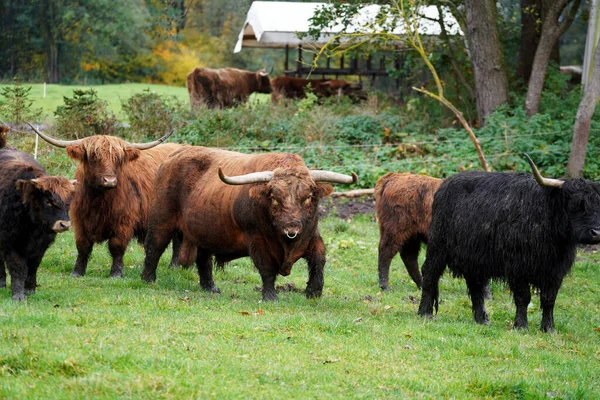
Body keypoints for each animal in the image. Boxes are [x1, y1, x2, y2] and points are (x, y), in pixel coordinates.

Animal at [0, 129, 75, 300]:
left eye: (69, 201)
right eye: (48, 201)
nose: (64, 225)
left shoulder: (42, 243)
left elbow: (33, 265)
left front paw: (30, 288)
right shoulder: (9, 241)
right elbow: (17, 266)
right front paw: (18, 295)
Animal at [32, 126, 183, 280]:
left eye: (117, 159)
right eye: (94, 157)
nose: (109, 180)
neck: (99, 201)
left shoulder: (123, 222)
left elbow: (116, 246)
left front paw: (116, 273)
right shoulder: (79, 220)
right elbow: (82, 245)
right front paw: (77, 272)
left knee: (178, 239)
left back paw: (174, 266)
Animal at [141, 147, 356, 300]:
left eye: (308, 197)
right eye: (274, 198)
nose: (291, 229)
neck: (288, 246)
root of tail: (173, 156)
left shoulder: (312, 236)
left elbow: (319, 260)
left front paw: (313, 292)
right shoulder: (258, 241)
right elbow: (267, 268)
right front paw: (270, 296)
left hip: (206, 230)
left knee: (203, 259)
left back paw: (210, 287)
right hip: (162, 220)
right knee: (154, 248)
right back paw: (148, 279)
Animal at [418, 155, 600, 332]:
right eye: (575, 204)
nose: (596, 233)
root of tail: (444, 185)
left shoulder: (555, 272)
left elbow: (549, 299)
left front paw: (549, 329)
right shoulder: (517, 267)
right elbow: (523, 297)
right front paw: (521, 326)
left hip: (474, 259)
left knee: (476, 287)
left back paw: (482, 319)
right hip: (438, 246)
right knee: (430, 275)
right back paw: (424, 312)